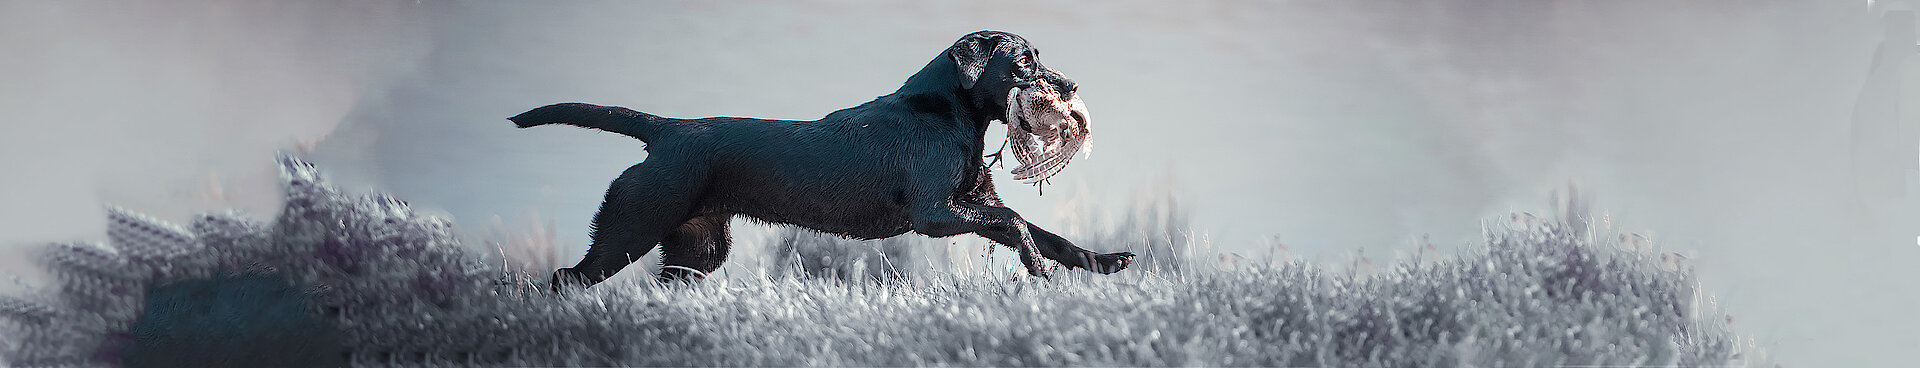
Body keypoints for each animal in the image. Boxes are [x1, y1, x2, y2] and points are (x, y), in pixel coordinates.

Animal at [510, 30, 1128, 291]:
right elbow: (1019, 223)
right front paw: (1039, 270)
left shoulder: (973, 202)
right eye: (1024, 62)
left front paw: (1103, 261)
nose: (1072, 86)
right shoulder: (936, 214)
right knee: (565, 278)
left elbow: (1048, 233)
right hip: (632, 225)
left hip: (697, 248)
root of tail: (665, 131)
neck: (948, 113)